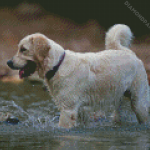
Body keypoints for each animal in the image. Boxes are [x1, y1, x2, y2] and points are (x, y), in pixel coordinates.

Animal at [7, 24, 149, 127]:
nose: (8, 62)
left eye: (23, 49)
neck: (57, 66)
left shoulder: (68, 110)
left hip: (138, 103)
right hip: (119, 105)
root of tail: (129, 52)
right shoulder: (80, 110)